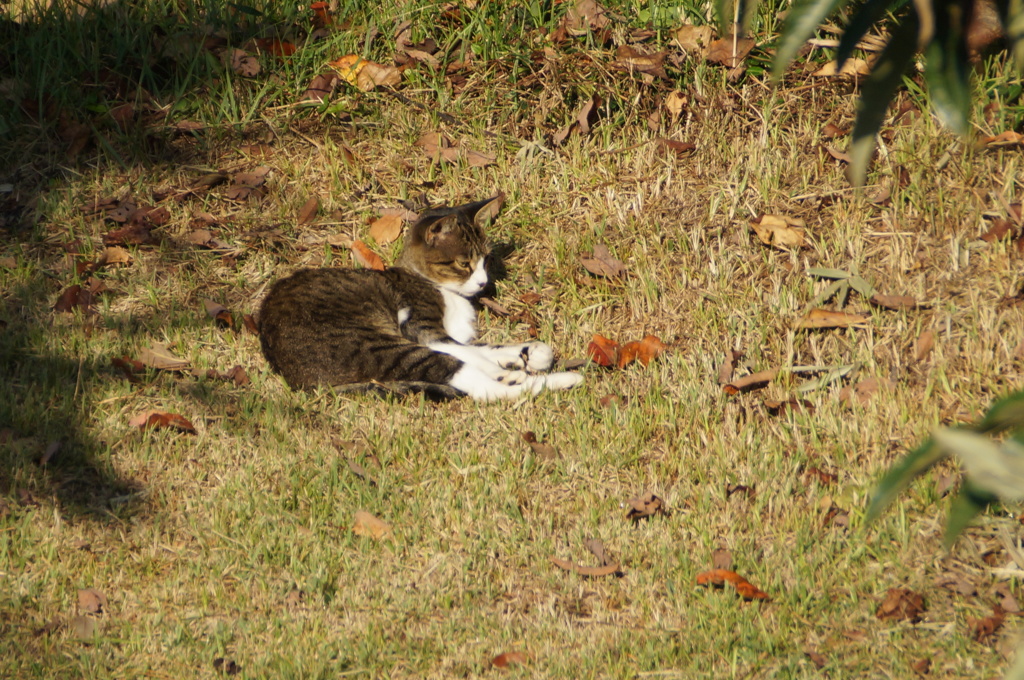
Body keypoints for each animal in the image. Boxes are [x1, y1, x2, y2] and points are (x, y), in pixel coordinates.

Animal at [258, 193, 585, 401]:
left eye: (486, 260)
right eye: (464, 264)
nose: (482, 283)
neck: (443, 291)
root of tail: (297, 380)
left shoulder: (455, 335)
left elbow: (485, 347)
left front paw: (532, 353)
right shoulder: (422, 328)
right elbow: (470, 354)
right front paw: (508, 368)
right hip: (382, 348)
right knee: (482, 388)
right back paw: (561, 381)